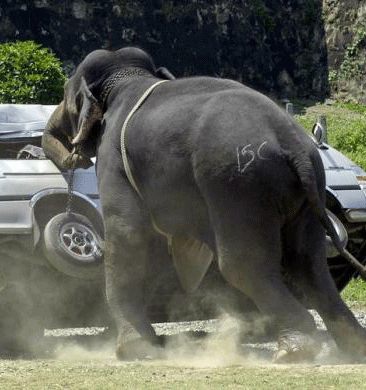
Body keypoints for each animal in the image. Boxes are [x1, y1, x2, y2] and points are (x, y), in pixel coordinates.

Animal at [41, 46, 366, 362]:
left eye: (67, 95)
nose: (73, 157)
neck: (130, 78)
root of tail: (294, 146)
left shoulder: (113, 158)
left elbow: (127, 232)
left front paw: (134, 351)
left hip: (237, 185)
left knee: (243, 264)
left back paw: (295, 350)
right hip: (306, 191)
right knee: (308, 262)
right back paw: (352, 349)